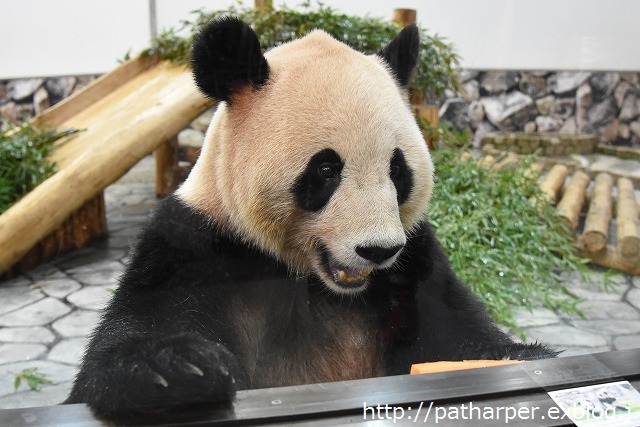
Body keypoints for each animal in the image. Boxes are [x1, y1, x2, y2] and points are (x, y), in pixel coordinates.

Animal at [66, 17, 556, 422]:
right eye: (325, 170)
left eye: (397, 169)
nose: (377, 250)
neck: (316, 283)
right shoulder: (196, 246)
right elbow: (129, 338)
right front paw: (175, 369)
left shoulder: (416, 258)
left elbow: (460, 338)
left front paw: (525, 359)